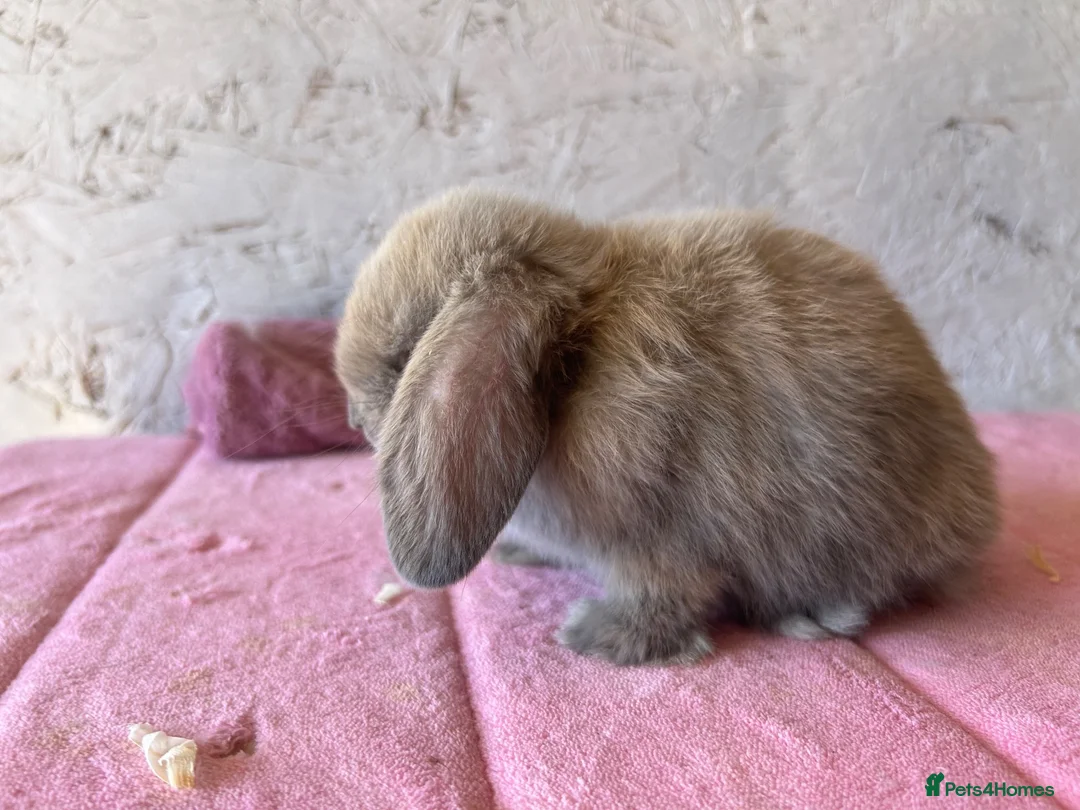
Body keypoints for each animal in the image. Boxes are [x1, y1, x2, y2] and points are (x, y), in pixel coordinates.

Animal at [334, 186, 1000, 667]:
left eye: (403, 357)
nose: (353, 418)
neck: (575, 355)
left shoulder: (662, 540)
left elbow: (666, 596)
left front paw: (595, 638)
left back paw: (813, 615)